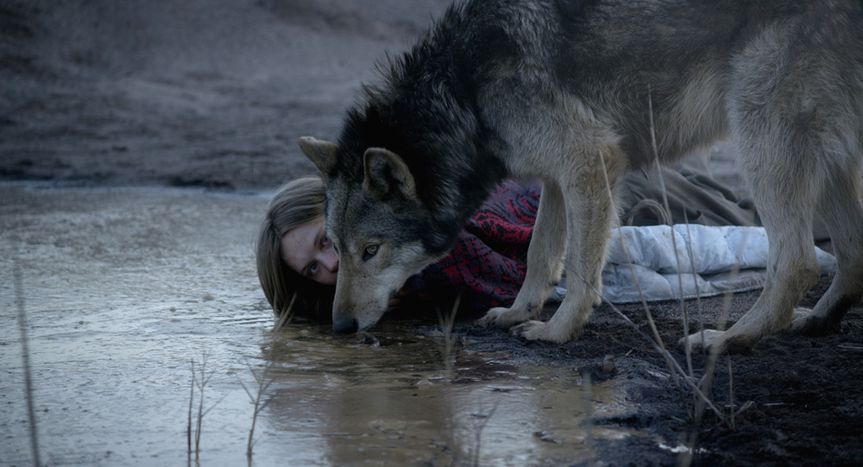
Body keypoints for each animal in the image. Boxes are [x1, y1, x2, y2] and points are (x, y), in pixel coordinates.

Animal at [298, 0, 863, 352]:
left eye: (371, 251)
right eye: (335, 248)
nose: (340, 325)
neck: (465, 90)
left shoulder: (591, 160)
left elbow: (579, 270)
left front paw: (558, 331)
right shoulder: (556, 177)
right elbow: (540, 254)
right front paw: (518, 313)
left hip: (760, 146)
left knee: (798, 262)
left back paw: (729, 340)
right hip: (821, 162)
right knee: (850, 255)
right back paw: (815, 321)